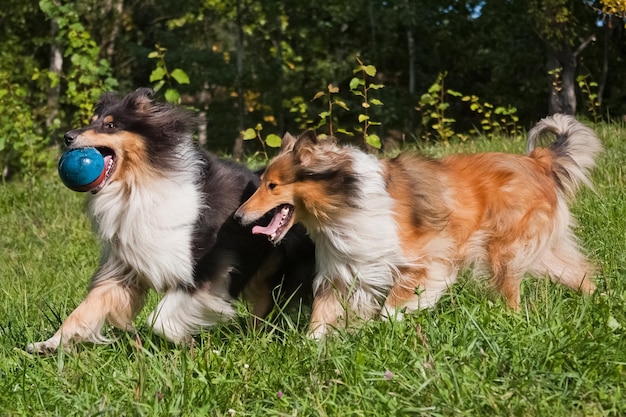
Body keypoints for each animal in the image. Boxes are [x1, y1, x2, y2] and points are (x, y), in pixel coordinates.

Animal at [27, 88, 314, 354]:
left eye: (110, 125)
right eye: (92, 120)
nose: (67, 137)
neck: (139, 185)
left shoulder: (205, 267)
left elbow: (159, 320)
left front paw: (187, 342)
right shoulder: (123, 267)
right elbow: (85, 309)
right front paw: (48, 344)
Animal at [234, 114, 600, 338]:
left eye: (272, 186)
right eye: (263, 181)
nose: (237, 217)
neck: (344, 202)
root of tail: (537, 160)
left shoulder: (424, 258)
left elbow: (391, 307)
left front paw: (386, 328)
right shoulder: (341, 270)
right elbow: (320, 318)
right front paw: (310, 349)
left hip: (504, 252)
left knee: (514, 293)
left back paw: (511, 322)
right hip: (536, 252)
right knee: (581, 273)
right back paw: (598, 301)